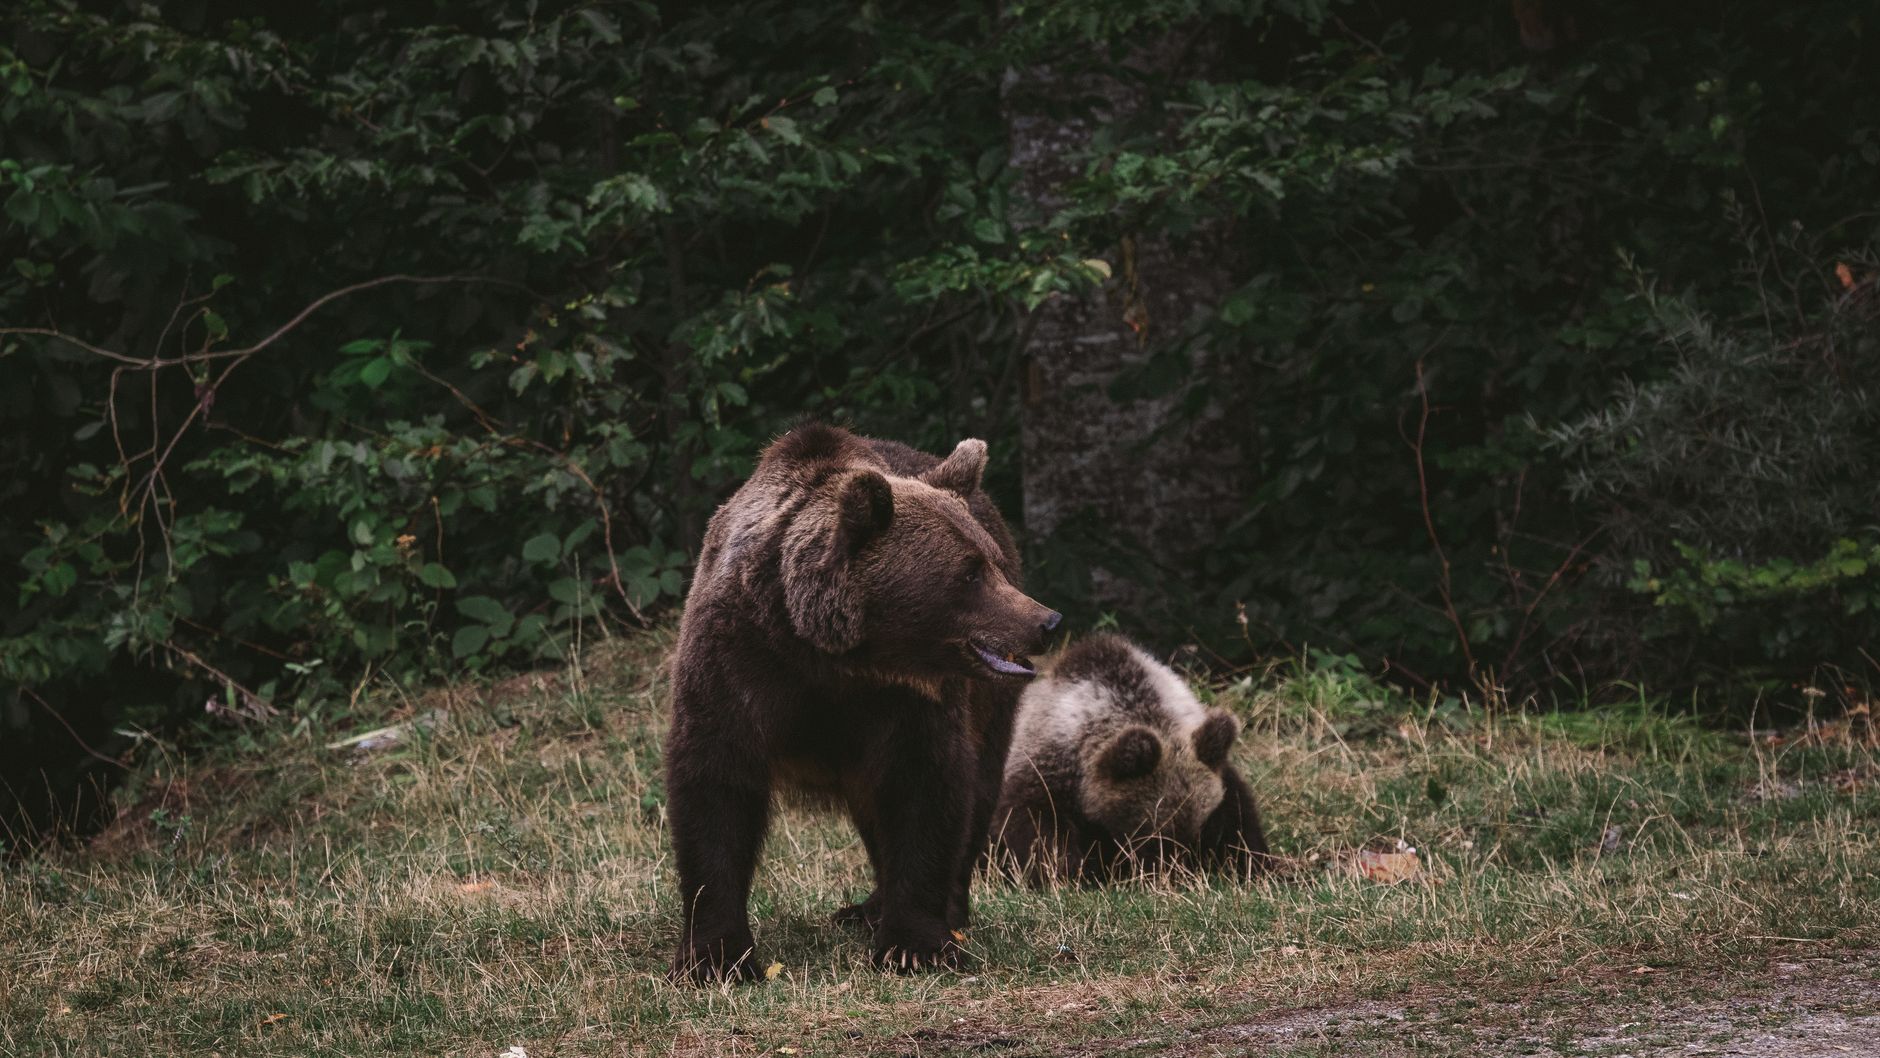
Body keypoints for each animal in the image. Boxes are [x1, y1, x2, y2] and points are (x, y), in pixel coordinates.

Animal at [664, 423, 1060, 982]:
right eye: (969, 573)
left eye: (994, 565)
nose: (1046, 622)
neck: (828, 655)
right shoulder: (736, 664)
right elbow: (715, 788)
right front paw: (715, 958)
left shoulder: (907, 701)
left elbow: (925, 788)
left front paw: (916, 944)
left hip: (990, 705)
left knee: (977, 786)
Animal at [992, 633, 1270, 883]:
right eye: (1154, 837)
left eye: (1202, 828)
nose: (1179, 874)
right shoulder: (1045, 769)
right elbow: (1037, 827)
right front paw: (1066, 873)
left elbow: (1240, 819)